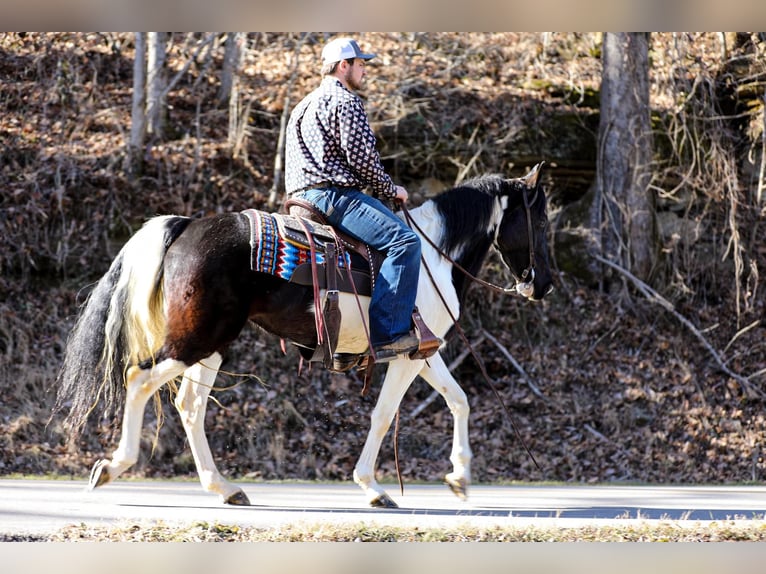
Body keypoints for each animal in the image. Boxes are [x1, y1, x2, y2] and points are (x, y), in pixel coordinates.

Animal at [57, 164, 556, 510]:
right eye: (543, 222)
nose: (545, 285)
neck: (434, 256)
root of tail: (186, 227)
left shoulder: (425, 354)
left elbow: (459, 401)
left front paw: (459, 477)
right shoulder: (406, 357)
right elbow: (383, 415)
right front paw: (373, 488)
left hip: (211, 346)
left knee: (189, 406)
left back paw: (225, 488)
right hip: (195, 341)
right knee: (139, 381)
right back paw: (112, 467)